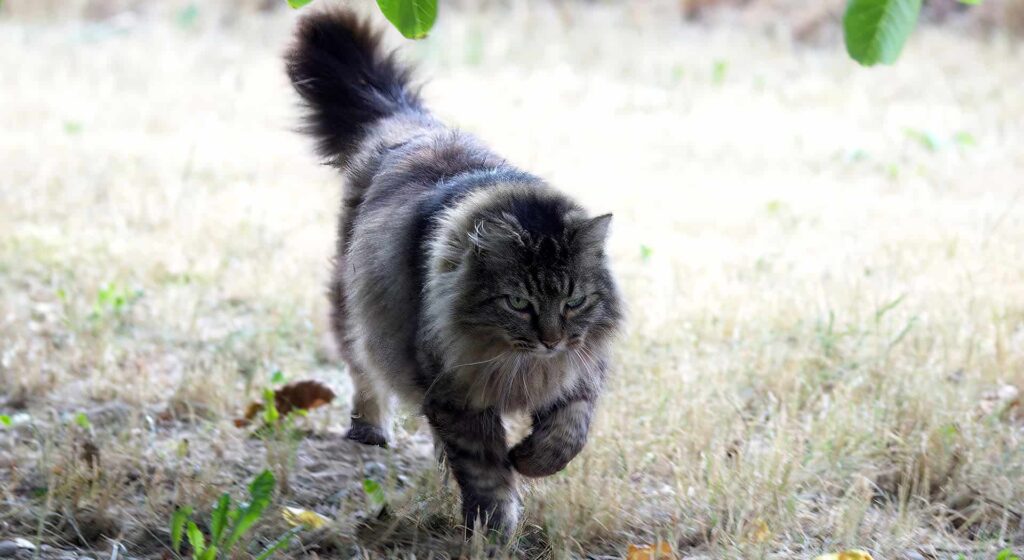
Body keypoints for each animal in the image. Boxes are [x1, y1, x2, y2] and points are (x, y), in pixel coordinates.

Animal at [288, 7, 622, 536]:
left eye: (574, 301)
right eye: (519, 303)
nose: (551, 340)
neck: (518, 365)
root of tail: (411, 123)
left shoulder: (582, 368)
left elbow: (569, 431)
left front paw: (531, 460)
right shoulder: (455, 393)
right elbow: (484, 468)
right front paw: (494, 527)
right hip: (354, 308)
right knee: (361, 368)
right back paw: (370, 430)